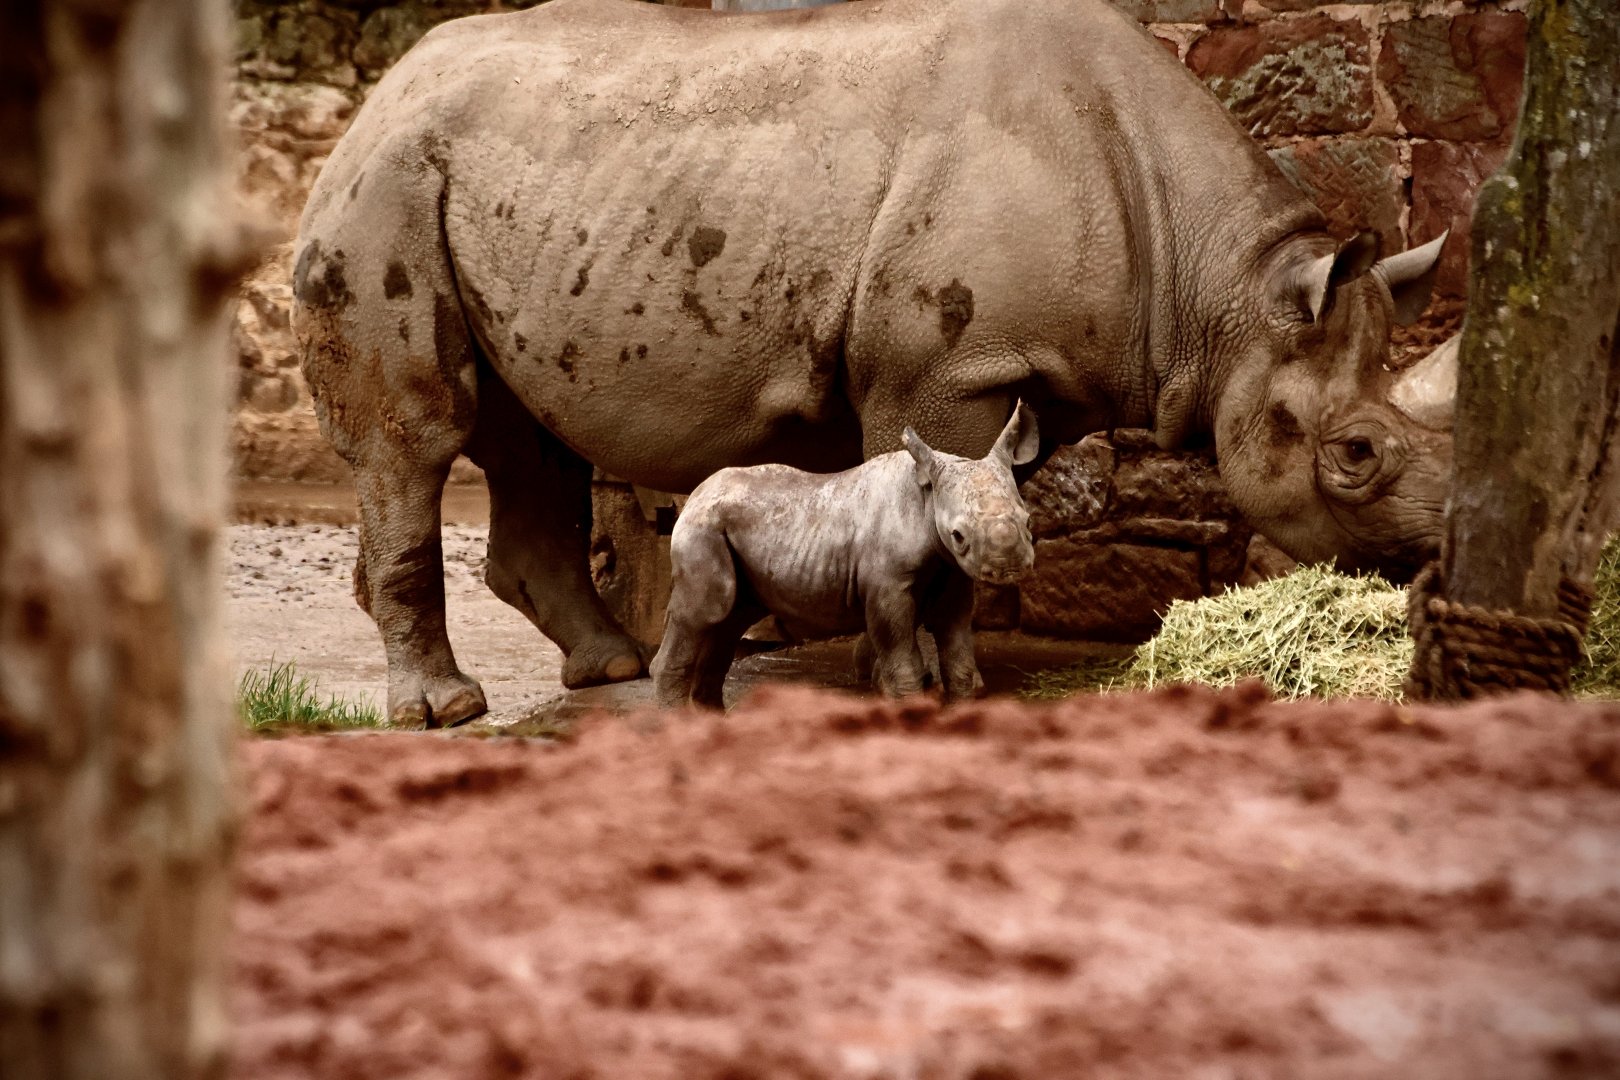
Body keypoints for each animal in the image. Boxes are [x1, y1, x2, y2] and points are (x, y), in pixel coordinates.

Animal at [653, 402, 1039, 708]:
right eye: (958, 535)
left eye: (1028, 521)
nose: (1007, 568)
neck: (927, 499)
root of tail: (694, 495)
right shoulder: (888, 585)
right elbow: (903, 662)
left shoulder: (952, 573)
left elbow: (958, 660)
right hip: (701, 528)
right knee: (706, 611)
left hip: (727, 526)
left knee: (729, 621)